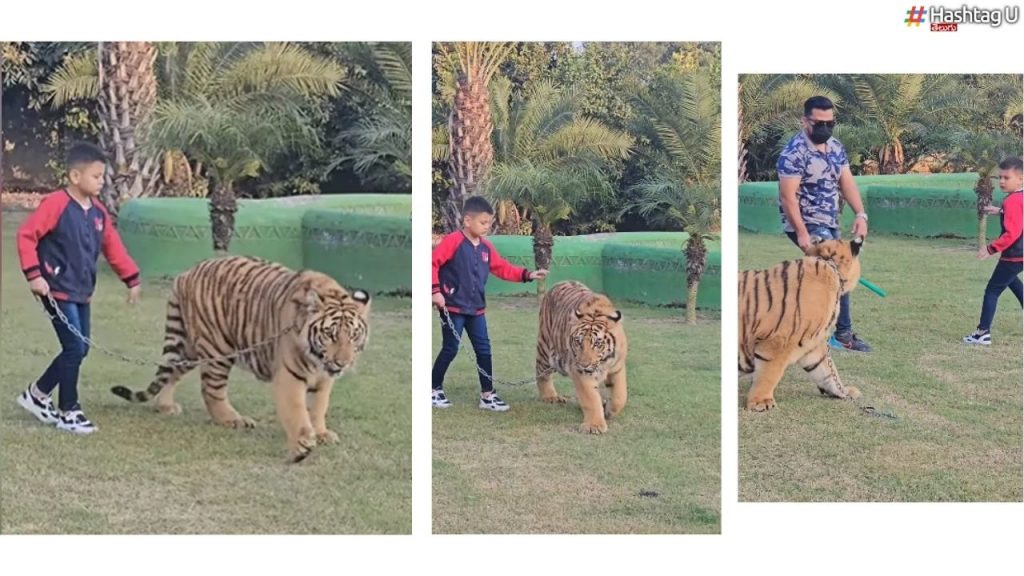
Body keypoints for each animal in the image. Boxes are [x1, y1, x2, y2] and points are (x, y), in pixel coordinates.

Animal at [111, 255, 372, 461]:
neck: (317, 357)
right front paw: (302, 442)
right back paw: (233, 420)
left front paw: (321, 433)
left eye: (353, 336)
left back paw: (165, 406)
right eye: (330, 334)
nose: (342, 363)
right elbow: (297, 410)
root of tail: (186, 273)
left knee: (172, 370)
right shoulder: (290, 375)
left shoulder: (324, 378)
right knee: (211, 391)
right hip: (217, 348)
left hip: (189, 346)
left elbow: (318, 407)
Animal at [532, 280, 626, 432]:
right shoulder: (580, 373)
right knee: (541, 373)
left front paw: (609, 410)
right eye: (578, 341)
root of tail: (559, 283)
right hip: (545, 348)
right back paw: (550, 397)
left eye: (598, 343)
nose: (584, 364)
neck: (603, 363)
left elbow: (620, 396)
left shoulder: (617, 367)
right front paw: (594, 426)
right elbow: (591, 398)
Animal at [737, 235, 864, 409]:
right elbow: (769, 374)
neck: (830, 265)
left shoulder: (813, 344)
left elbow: (827, 372)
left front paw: (844, 391)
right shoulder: (777, 342)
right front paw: (761, 402)